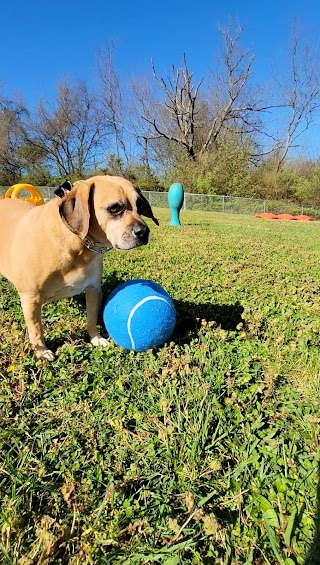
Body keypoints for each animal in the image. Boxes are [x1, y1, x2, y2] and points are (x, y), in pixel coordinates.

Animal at [0, 176, 159, 360]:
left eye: (139, 205)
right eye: (114, 208)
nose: (144, 232)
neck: (76, 244)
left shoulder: (94, 289)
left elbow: (91, 318)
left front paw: (96, 338)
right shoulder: (30, 298)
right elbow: (36, 329)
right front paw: (42, 352)